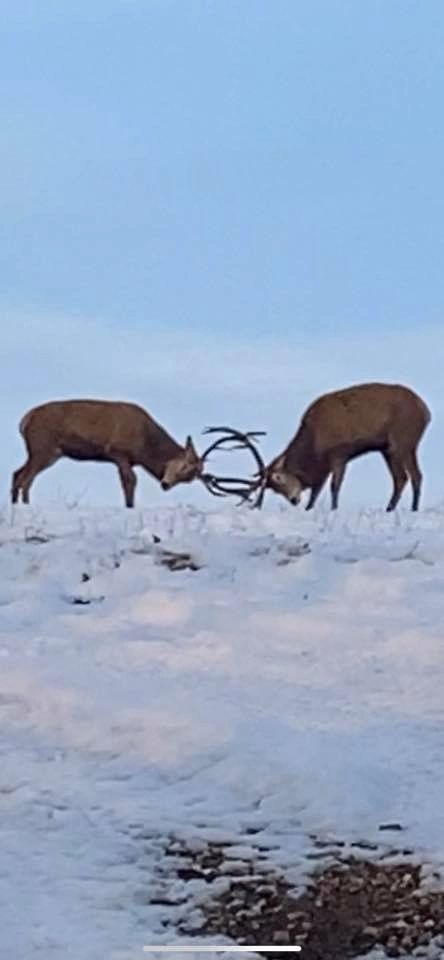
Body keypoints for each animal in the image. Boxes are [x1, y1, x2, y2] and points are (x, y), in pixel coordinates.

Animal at [11, 398, 263, 508]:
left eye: (188, 477)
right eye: (185, 465)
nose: (165, 484)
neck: (145, 446)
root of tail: (24, 421)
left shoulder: (126, 459)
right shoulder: (119, 452)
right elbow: (130, 482)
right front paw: (129, 506)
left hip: (48, 453)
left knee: (18, 474)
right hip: (42, 447)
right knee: (25, 478)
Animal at [207, 383, 431, 512]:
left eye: (278, 478)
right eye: (273, 489)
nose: (294, 499)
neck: (315, 447)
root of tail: (426, 411)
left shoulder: (339, 453)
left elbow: (333, 486)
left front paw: (333, 510)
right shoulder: (325, 466)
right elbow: (317, 490)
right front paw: (309, 508)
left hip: (403, 440)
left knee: (415, 475)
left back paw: (413, 509)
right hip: (387, 448)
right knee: (400, 478)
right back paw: (390, 509)